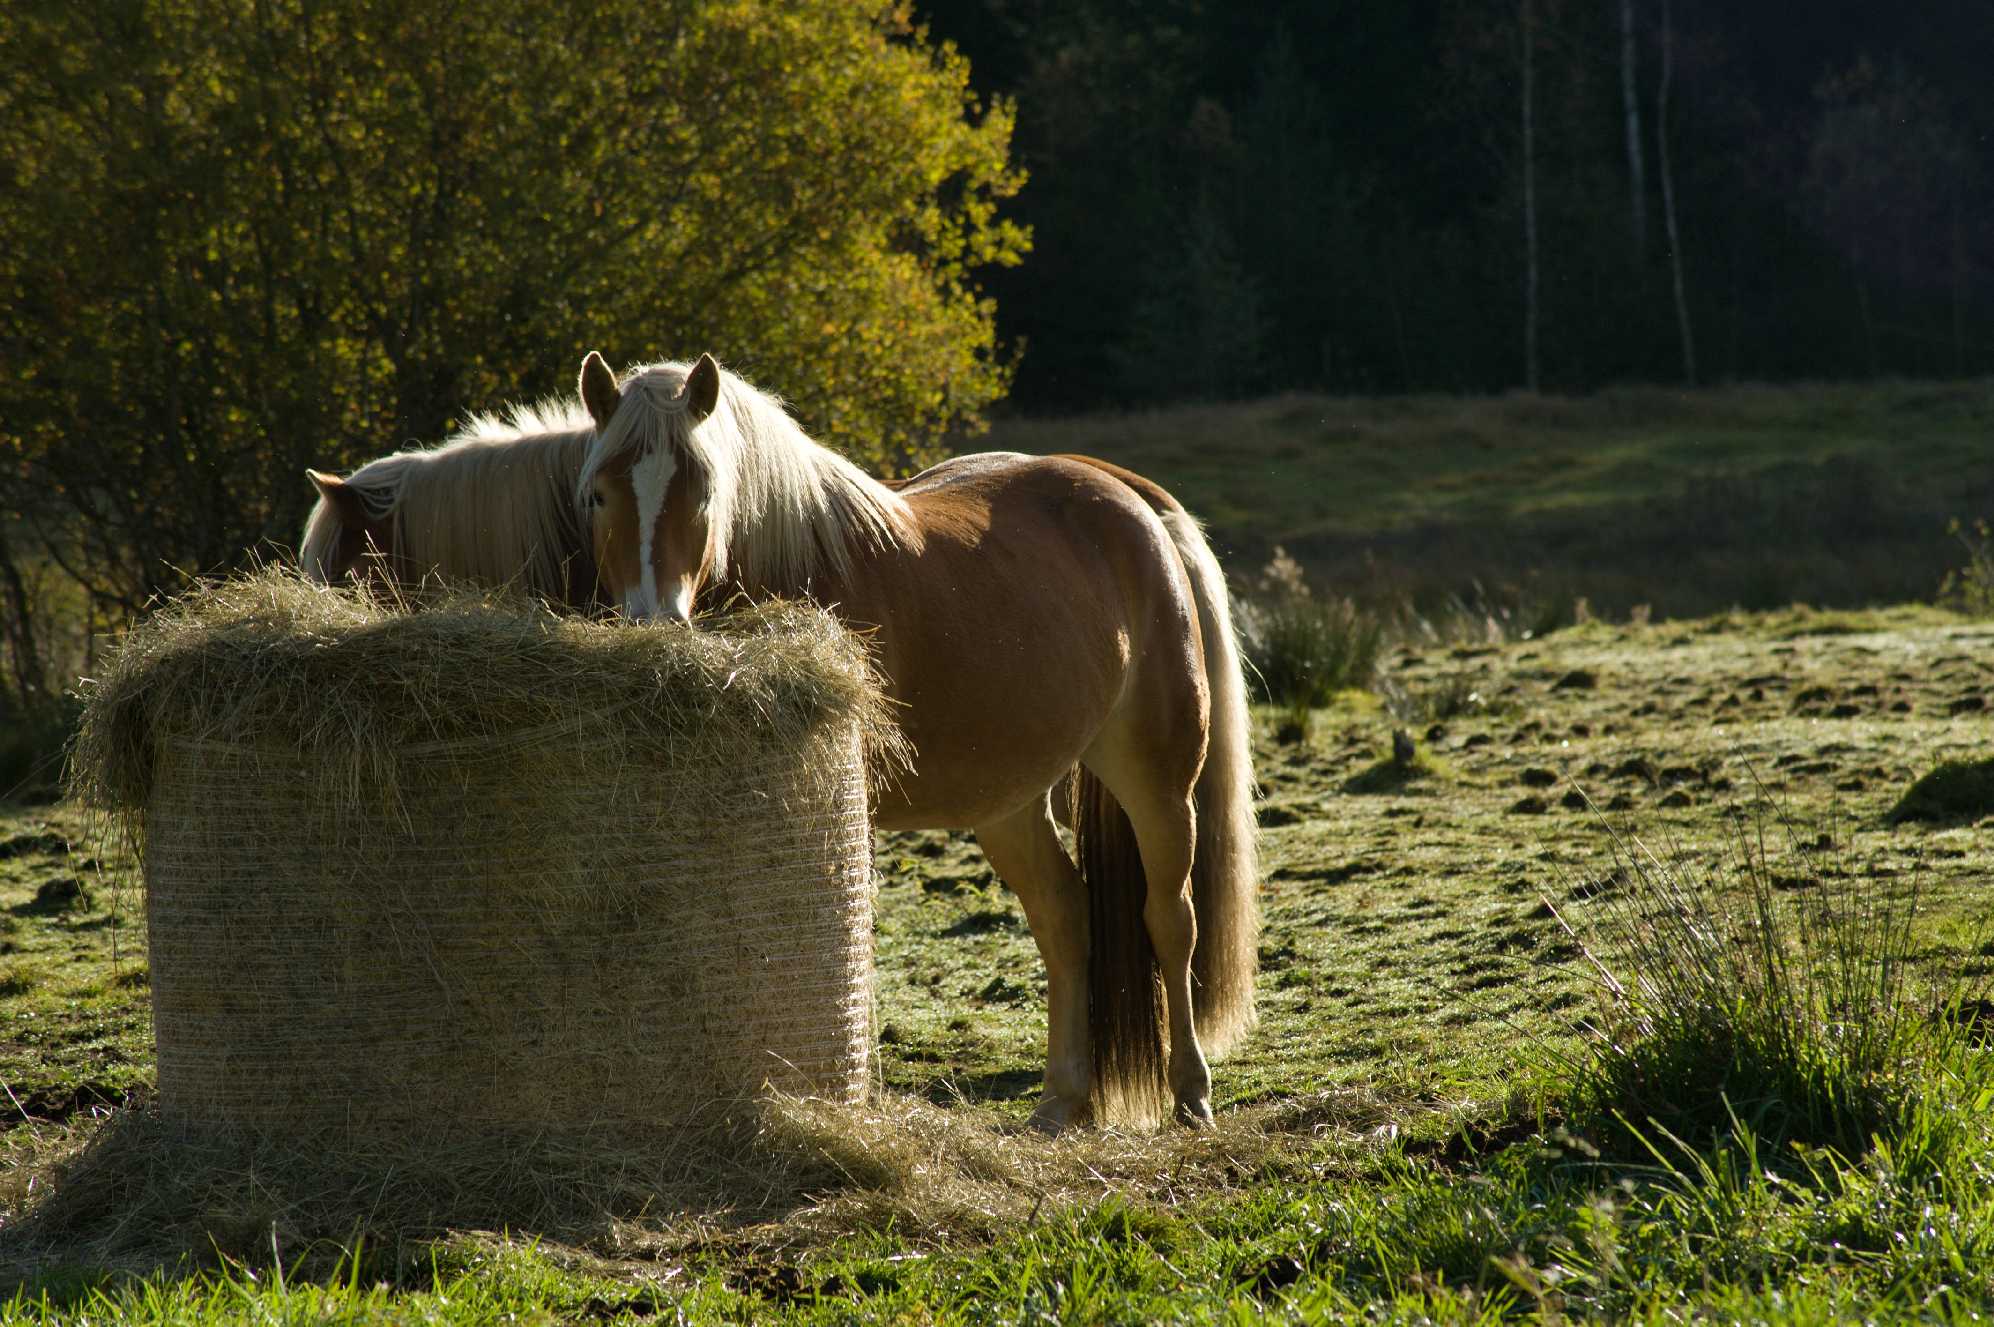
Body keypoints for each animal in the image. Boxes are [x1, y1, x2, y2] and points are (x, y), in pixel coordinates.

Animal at [578, 351, 1260, 1125]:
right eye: (599, 496)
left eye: (704, 494)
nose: (653, 624)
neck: (803, 561)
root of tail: (1128, 498)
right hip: (1009, 804)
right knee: (1065, 919)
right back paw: (1061, 1099)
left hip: (1158, 778)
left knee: (1171, 921)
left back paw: (1192, 1091)